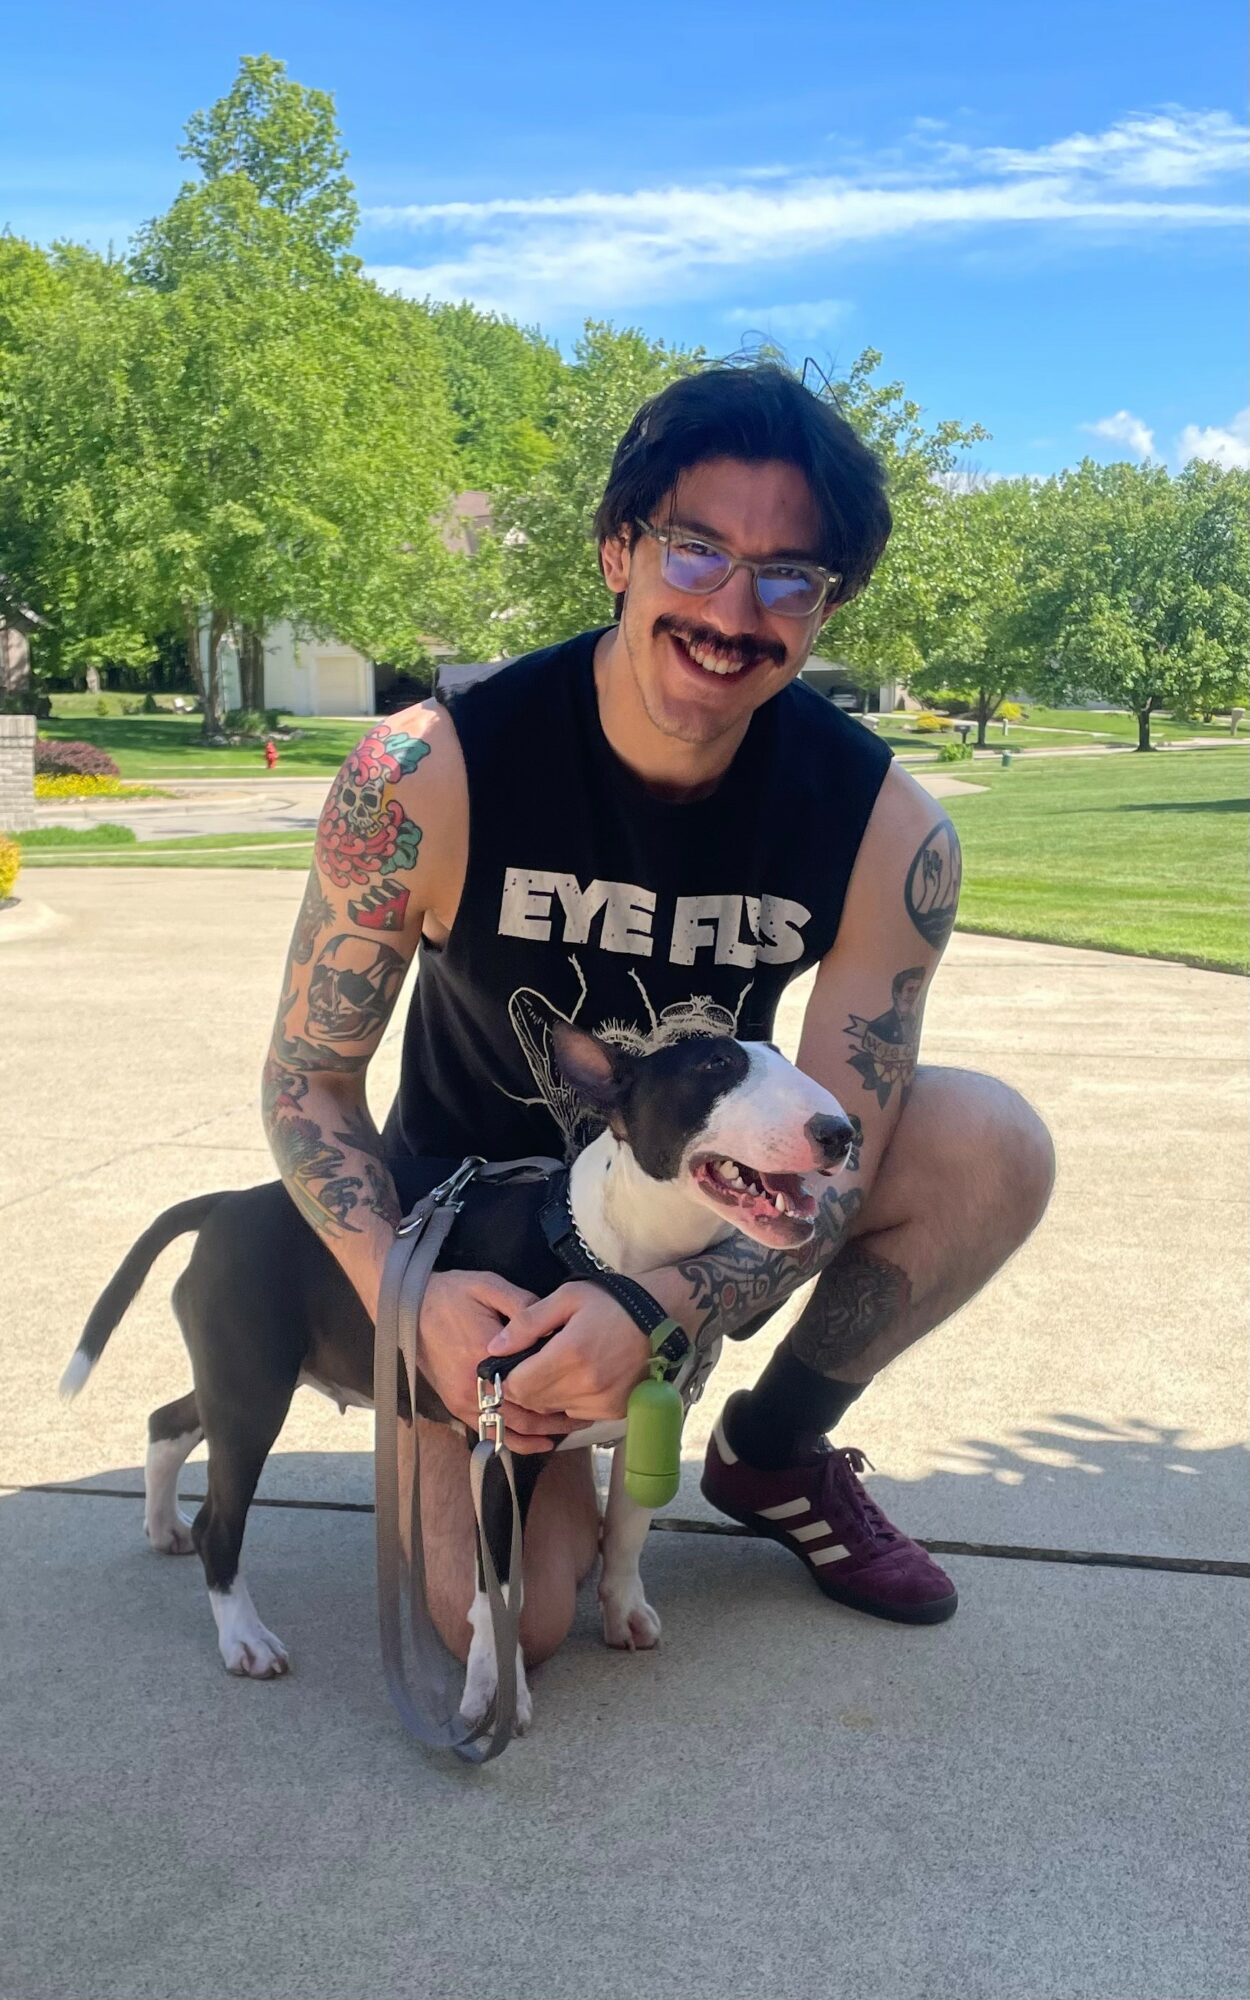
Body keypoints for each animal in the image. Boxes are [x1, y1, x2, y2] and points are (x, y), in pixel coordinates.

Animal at [60, 1023, 854, 1732]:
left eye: (783, 1056)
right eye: (715, 1064)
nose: (842, 1132)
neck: (604, 1255)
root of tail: (226, 1202)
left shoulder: (651, 1419)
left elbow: (627, 1528)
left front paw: (625, 1611)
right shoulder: (504, 1444)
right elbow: (497, 1586)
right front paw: (493, 1692)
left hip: (242, 1376)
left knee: (170, 1420)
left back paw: (162, 1525)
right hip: (254, 1388)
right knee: (219, 1520)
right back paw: (243, 1638)